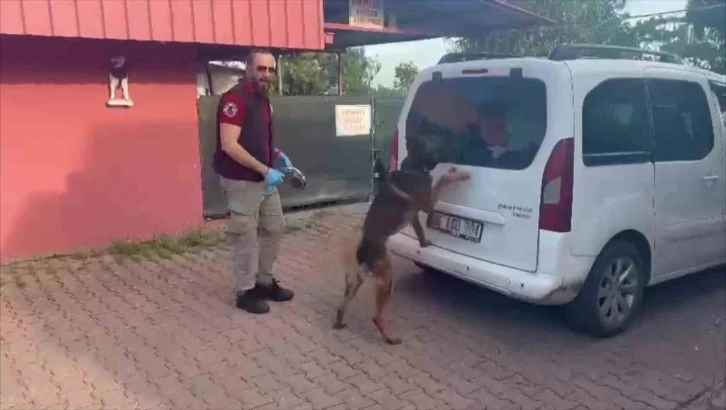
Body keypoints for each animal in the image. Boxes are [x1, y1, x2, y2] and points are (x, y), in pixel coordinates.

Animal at [332, 133, 470, 344]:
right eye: (438, 142)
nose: (457, 150)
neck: (415, 164)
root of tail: (362, 250)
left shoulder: (414, 215)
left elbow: (420, 231)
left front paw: (424, 244)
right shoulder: (428, 204)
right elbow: (442, 179)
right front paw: (458, 174)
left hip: (357, 281)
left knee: (342, 306)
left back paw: (340, 323)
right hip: (386, 278)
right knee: (376, 317)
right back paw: (390, 338)